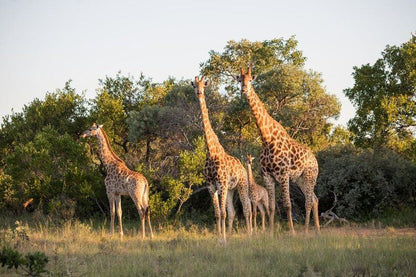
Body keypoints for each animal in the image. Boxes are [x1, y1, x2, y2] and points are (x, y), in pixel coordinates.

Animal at [190, 75, 252, 242]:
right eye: (194, 86)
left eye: (203, 85)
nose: (199, 93)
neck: (211, 152)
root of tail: (243, 168)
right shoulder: (211, 186)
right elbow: (218, 214)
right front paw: (220, 240)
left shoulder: (221, 184)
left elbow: (223, 213)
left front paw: (223, 240)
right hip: (231, 190)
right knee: (233, 212)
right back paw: (230, 236)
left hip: (241, 185)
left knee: (247, 208)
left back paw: (251, 234)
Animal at [236, 67, 320, 233]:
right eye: (240, 80)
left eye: (250, 80)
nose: (244, 90)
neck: (267, 139)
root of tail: (315, 160)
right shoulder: (268, 176)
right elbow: (271, 207)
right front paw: (270, 233)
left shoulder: (283, 175)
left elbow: (287, 205)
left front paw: (292, 232)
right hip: (300, 179)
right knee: (314, 199)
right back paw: (318, 230)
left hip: (310, 176)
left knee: (308, 200)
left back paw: (306, 231)